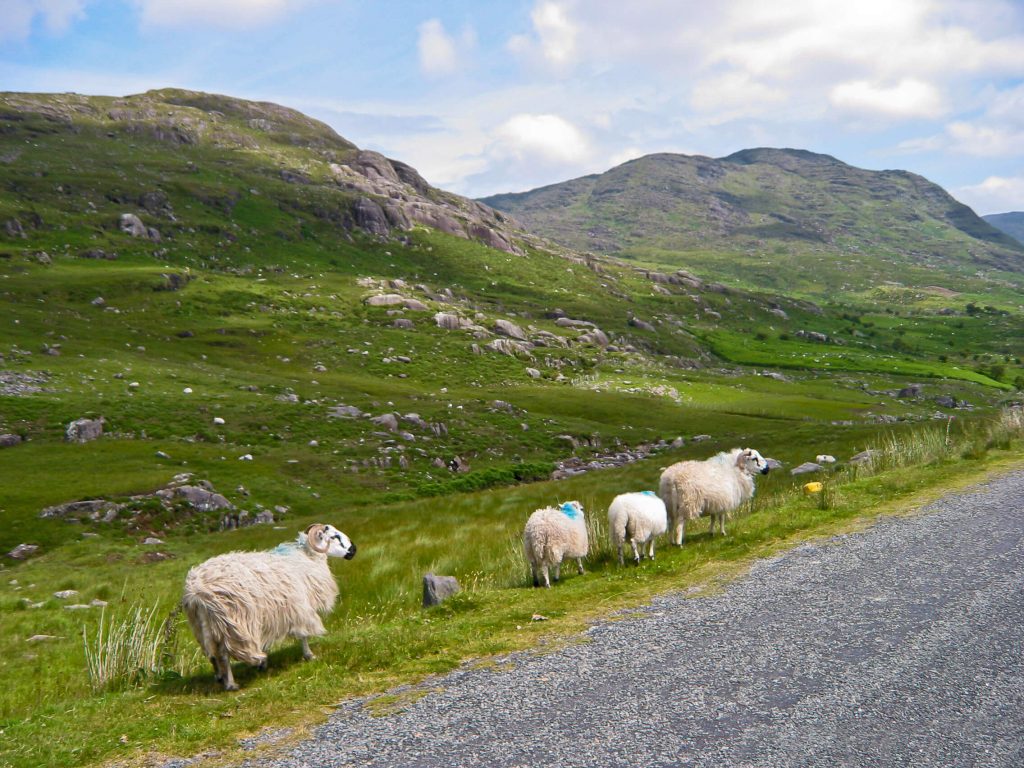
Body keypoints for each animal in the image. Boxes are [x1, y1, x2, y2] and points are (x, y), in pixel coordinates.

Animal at [183, 524, 356, 692]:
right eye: (335, 536)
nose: (354, 550)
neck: (306, 558)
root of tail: (197, 591)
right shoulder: (299, 607)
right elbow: (303, 635)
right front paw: (309, 656)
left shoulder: (269, 615)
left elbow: (265, 642)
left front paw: (263, 663)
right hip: (231, 623)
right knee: (224, 655)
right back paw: (231, 684)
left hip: (203, 626)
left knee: (212, 654)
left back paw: (219, 677)